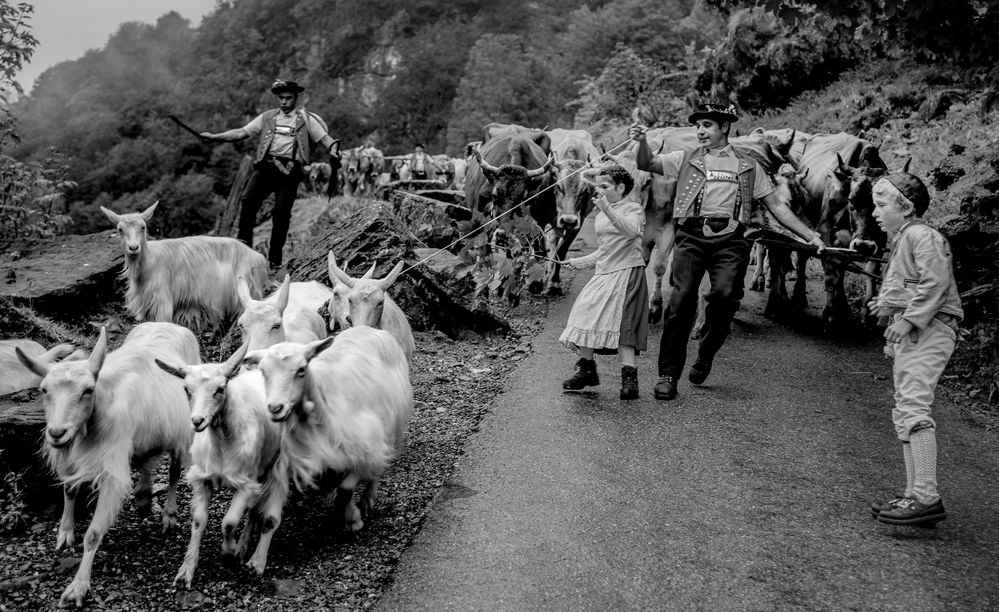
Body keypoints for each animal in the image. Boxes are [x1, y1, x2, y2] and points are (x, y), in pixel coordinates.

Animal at [15, 322, 199, 608]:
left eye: (87, 390)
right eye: (44, 390)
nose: (56, 433)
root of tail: (169, 324)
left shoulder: (110, 467)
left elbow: (93, 533)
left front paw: (78, 587)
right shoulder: (74, 457)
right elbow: (69, 490)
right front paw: (65, 532)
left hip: (180, 431)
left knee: (173, 472)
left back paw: (168, 514)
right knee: (144, 460)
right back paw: (143, 497)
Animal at [101, 203, 270, 332]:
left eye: (143, 227)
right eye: (120, 230)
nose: (134, 248)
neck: (146, 264)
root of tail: (259, 257)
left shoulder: (162, 300)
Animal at [154, 342, 286, 584]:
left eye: (220, 389)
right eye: (187, 390)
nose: (197, 421)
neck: (223, 445)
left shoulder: (245, 483)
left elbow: (229, 522)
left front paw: (228, 551)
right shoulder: (202, 478)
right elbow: (199, 521)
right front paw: (186, 571)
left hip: (273, 464)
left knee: (260, 511)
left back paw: (247, 554)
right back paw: (244, 547)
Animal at [241, 328, 410, 536]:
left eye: (301, 369)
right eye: (263, 371)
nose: (275, 408)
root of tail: (373, 330)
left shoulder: (363, 448)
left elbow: (345, 490)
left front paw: (353, 520)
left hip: (392, 426)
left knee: (379, 465)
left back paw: (367, 499)